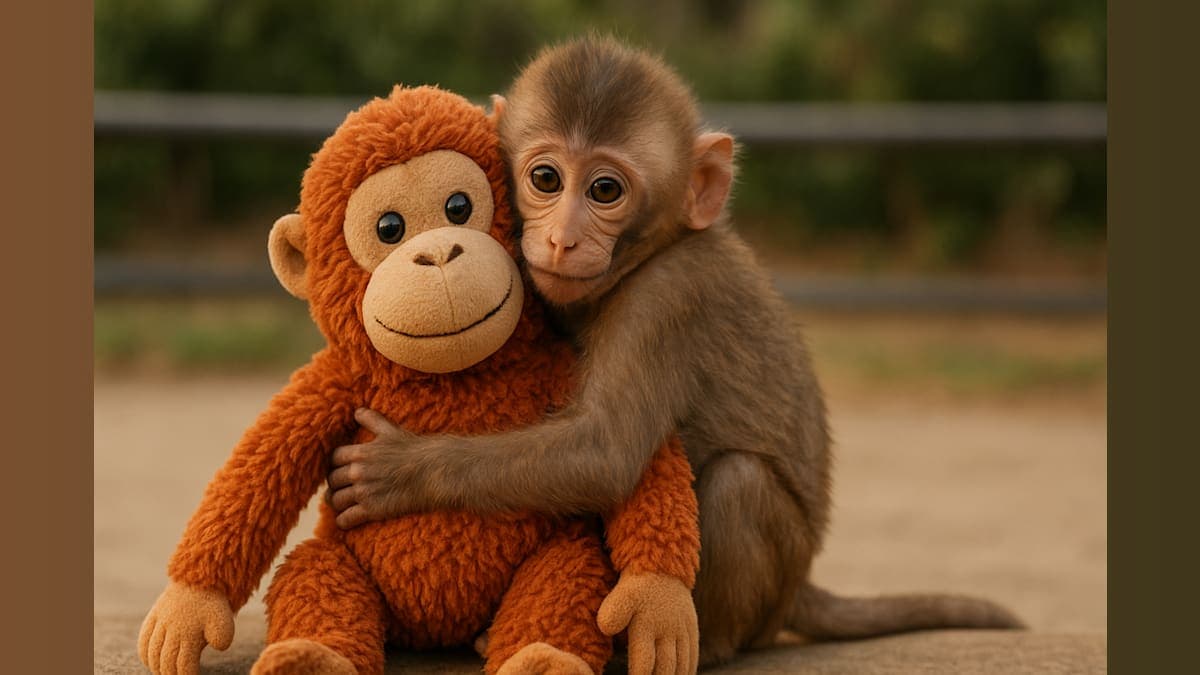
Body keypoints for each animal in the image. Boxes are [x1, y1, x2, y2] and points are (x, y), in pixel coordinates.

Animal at [328, 36, 1024, 666]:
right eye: (546, 178)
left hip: (771, 587)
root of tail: (799, 587)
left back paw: (702, 643)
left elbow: (604, 452)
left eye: (605, 191)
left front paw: (404, 470)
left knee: (739, 482)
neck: (649, 254)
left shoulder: (667, 299)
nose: (561, 239)